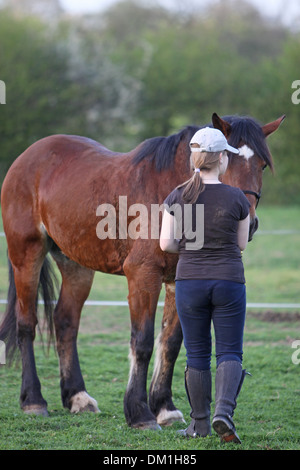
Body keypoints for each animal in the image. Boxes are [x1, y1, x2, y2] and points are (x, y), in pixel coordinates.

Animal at [0, 112, 284, 428]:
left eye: (261, 164)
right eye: (228, 160)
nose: (247, 223)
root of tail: (27, 156)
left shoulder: (178, 280)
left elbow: (170, 343)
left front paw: (165, 408)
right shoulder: (143, 276)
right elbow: (143, 341)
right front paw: (139, 412)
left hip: (76, 264)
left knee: (65, 321)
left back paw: (77, 397)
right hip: (26, 254)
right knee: (27, 324)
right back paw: (33, 400)